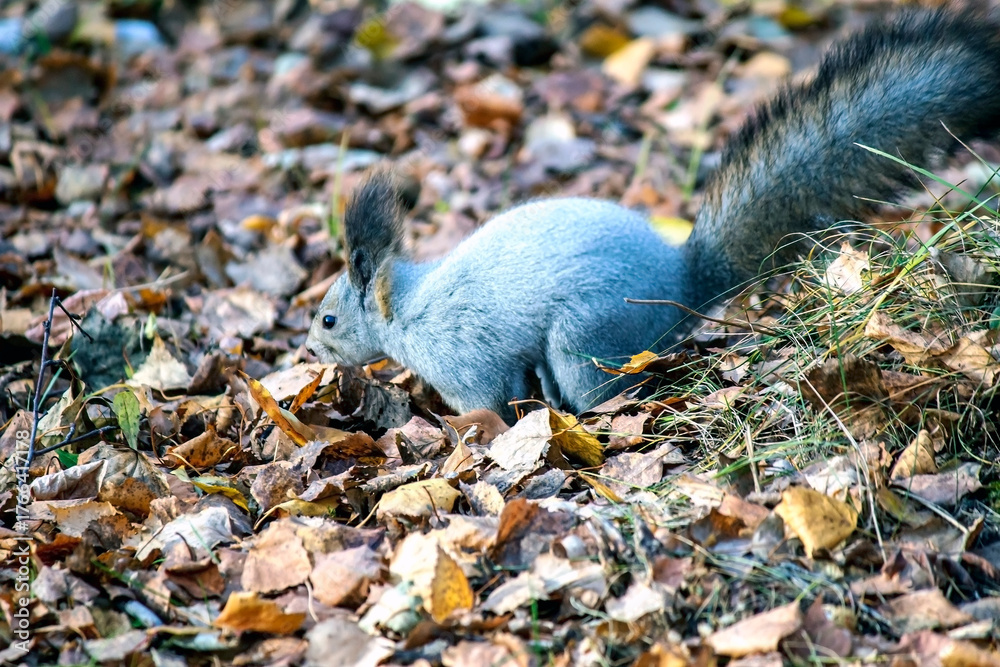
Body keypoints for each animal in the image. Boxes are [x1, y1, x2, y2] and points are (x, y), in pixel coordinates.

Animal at [305, 8, 1000, 423]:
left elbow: (485, 404)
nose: (309, 350)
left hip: (587, 338)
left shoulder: (462, 358)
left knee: (601, 387)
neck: (406, 309)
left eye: (330, 318)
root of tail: (682, 282)